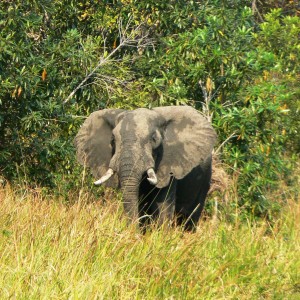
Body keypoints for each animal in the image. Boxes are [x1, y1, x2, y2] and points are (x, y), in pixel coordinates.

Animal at [74, 106, 216, 231]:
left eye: (154, 139)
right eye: (113, 140)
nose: (132, 234)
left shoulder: (170, 160)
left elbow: (163, 205)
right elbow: (140, 203)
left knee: (190, 217)